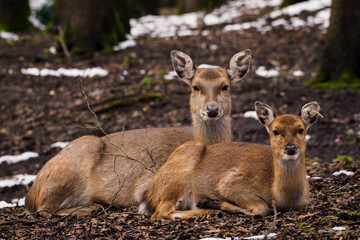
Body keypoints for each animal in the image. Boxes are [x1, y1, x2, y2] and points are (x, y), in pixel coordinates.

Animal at [24, 49, 253, 218]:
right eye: (195, 87)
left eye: (225, 86)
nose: (212, 110)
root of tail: (30, 194)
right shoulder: (147, 183)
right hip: (77, 155)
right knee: (44, 209)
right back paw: (92, 207)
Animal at [143, 100, 320, 220]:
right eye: (275, 131)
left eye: (301, 130)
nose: (290, 148)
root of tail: (150, 193)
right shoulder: (230, 180)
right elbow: (262, 209)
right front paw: (213, 203)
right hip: (179, 172)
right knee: (161, 212)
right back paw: (208, 208)